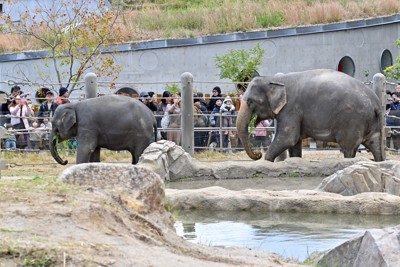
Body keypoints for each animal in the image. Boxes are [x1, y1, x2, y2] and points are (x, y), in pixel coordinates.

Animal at [236, 69, 386, 162]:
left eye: (250, 102)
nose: (258, 153)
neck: (275, 79)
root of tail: (376, 103)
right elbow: (294, 143)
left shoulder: (291, 109)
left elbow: (288, 138)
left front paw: (266, 159)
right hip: (371, 123)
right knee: (375, 145)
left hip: (352, 120)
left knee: (348, 148)